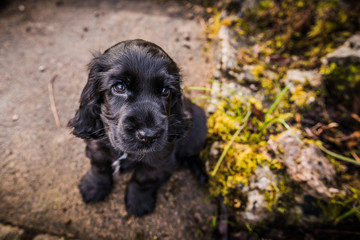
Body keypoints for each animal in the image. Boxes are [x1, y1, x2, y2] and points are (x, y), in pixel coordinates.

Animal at [68, 39, 207, 218]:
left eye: (165, 91)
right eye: (119, 87)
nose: (148, 135)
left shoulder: (157, 160)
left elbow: (143, 180)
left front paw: (139, 202)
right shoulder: (97, 146)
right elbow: (99, 167)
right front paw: (92, 187)